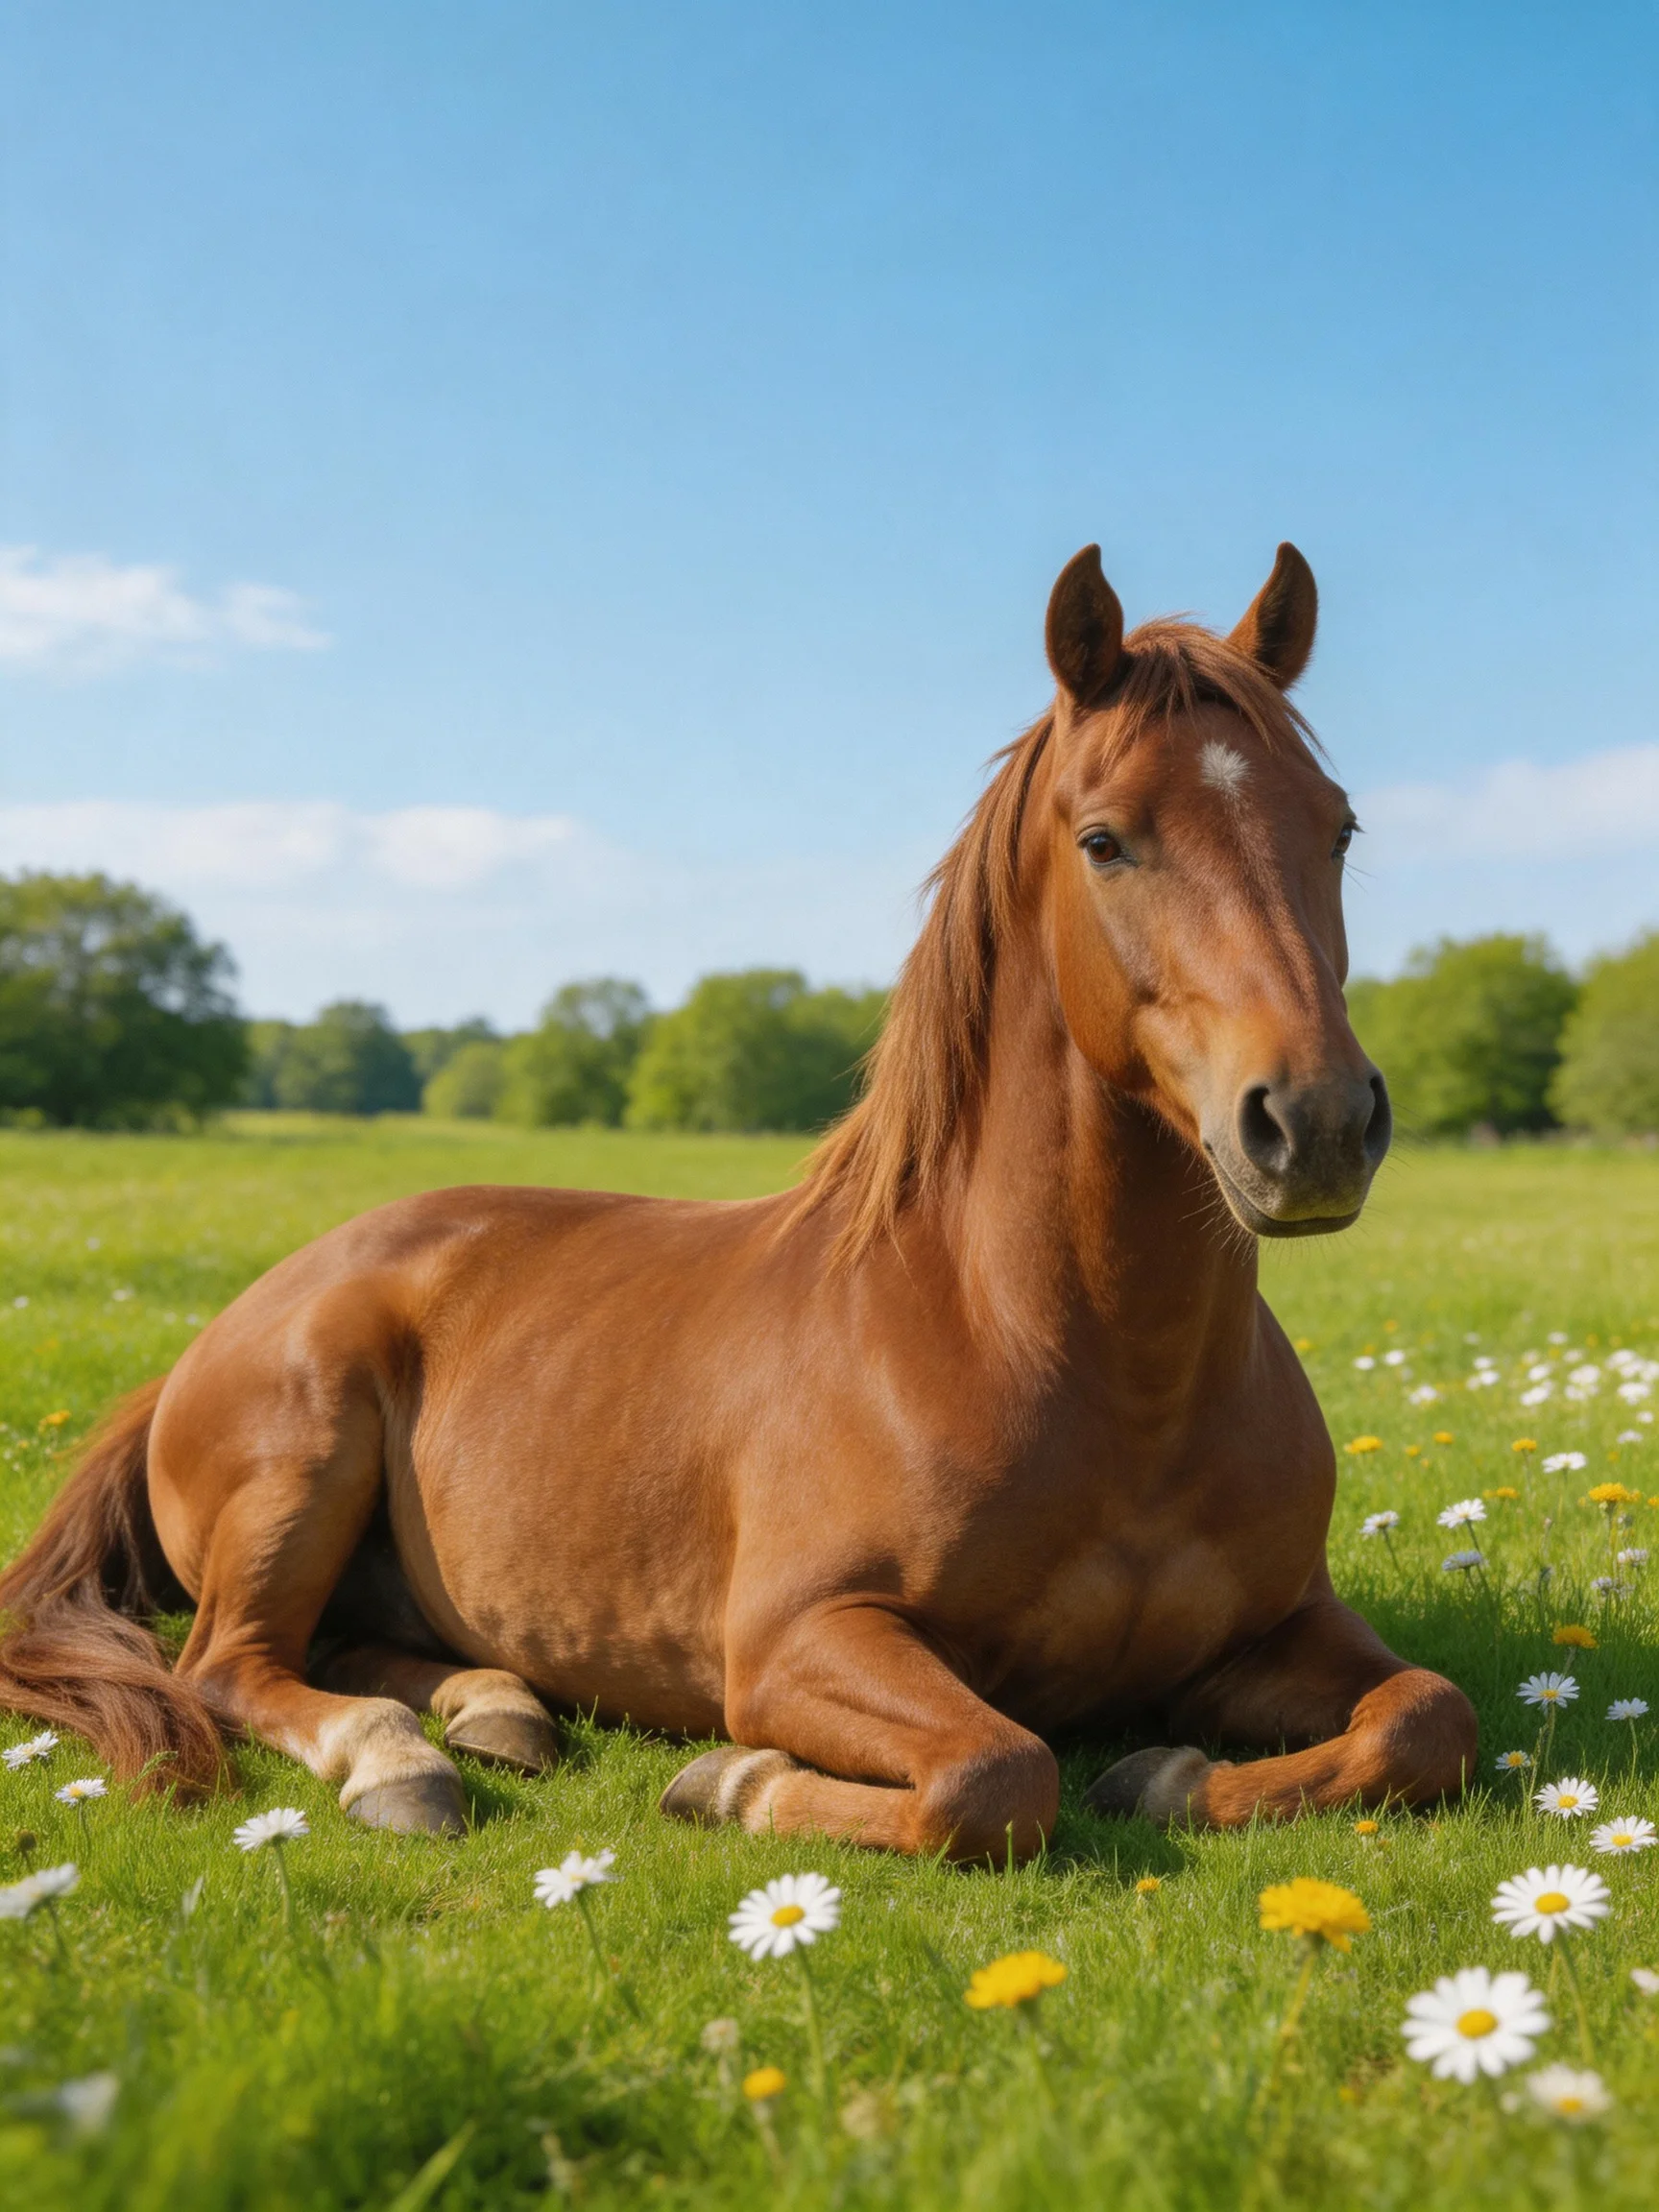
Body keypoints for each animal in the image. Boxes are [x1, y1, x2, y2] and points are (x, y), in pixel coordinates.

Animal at [0, 543, 1477, 1857]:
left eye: (1337, 826)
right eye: (1106, 839)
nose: (1317, 1123)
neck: (1066, 1360)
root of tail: (239, 1321)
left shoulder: (1278, 1631)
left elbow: (1428, 1719)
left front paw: (1169, 1774)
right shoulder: (799, 1642)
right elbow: (998, 1774)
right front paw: (735, 1782)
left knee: (354, 1650)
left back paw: (493, 1710)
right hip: (301, 1472)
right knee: (228, 1666)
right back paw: (398, 1764)